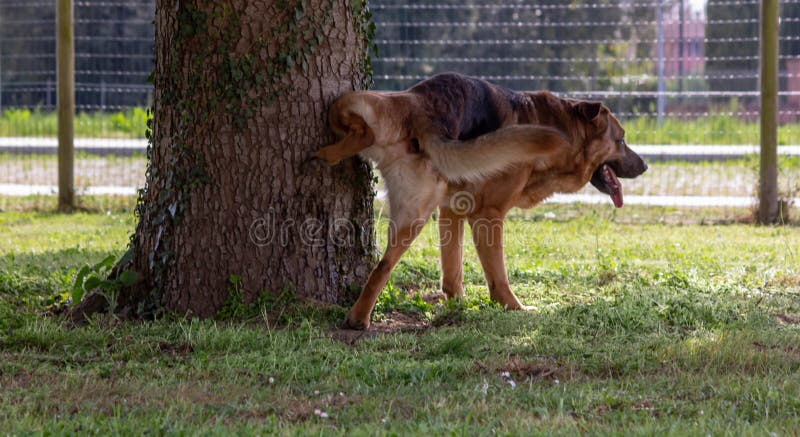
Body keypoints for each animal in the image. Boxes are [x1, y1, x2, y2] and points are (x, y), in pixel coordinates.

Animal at [316, 73, 648, 328]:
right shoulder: (489, 214)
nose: (645, 165)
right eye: (621, 140)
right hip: (413, 204)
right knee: (384, 265)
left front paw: (458, 306)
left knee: (382, 263)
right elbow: (498, 275)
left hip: (369, 111)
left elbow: (452, 272)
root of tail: (425, 113)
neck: (566, 129)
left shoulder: (451, 210)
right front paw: (513, 308)